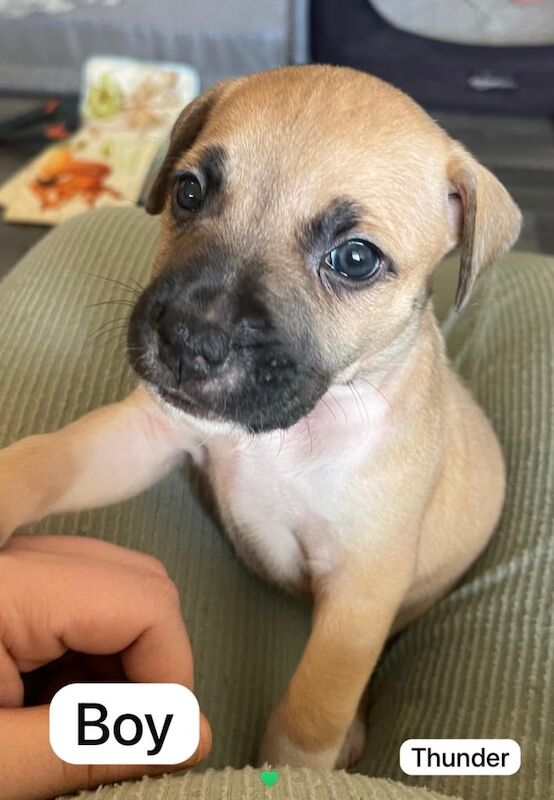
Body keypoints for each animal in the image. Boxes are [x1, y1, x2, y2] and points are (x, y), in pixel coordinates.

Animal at [0, 67, 520, 768]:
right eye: (188, 192)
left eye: (356, 259)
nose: (188, 340)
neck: (294, 433)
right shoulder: (151, 432)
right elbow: (48, 457)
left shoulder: (361, 593)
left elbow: (311, 711)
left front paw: (292, 767)